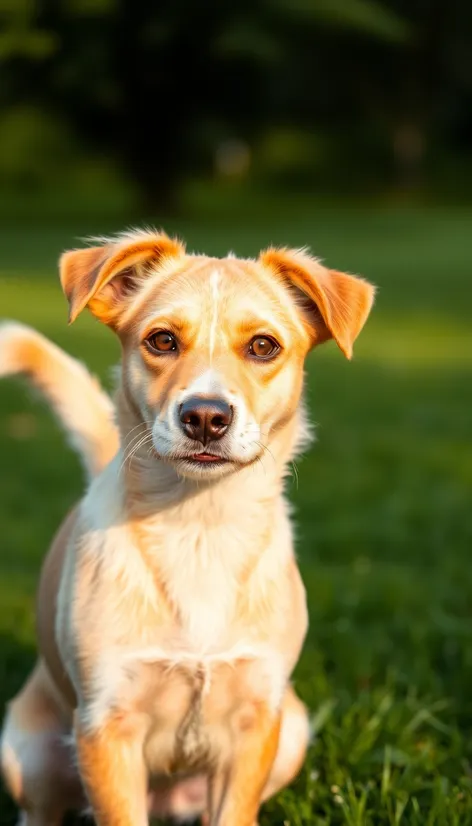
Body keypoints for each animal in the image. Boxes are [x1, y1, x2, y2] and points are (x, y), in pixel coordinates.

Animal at [0, 229, 376, 824]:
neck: (199, 525)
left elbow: (236, 812)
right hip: (27, 752)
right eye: (161, 340)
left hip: (292, 730)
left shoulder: (255, 722)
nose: (204, 416)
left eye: (263, 346)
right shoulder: (106, 725)